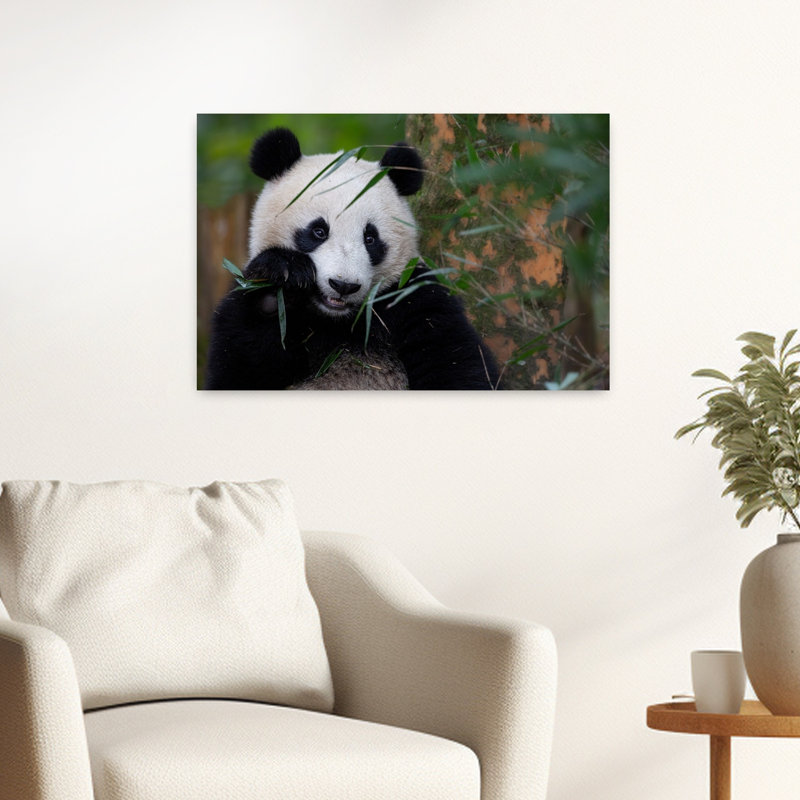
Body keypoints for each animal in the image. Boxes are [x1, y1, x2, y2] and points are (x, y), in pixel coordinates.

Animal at [204, 128, 500, 390]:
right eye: (318, 231)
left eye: (370, 238)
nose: (343, 285)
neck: (337, 319)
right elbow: (239, 368)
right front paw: (281, 278)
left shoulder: (414, 298)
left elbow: (458, 365)